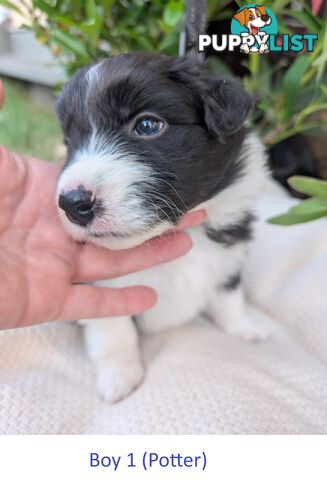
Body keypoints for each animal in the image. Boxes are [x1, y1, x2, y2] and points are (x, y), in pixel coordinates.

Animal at [55, 52, 270, 404]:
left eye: (147, 125)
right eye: (69, 141)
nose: (72, 203)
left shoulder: (229, 254)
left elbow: (229, 296)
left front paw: (244, 328)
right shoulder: (102, 290)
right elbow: (114, 334)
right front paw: (120, 380)